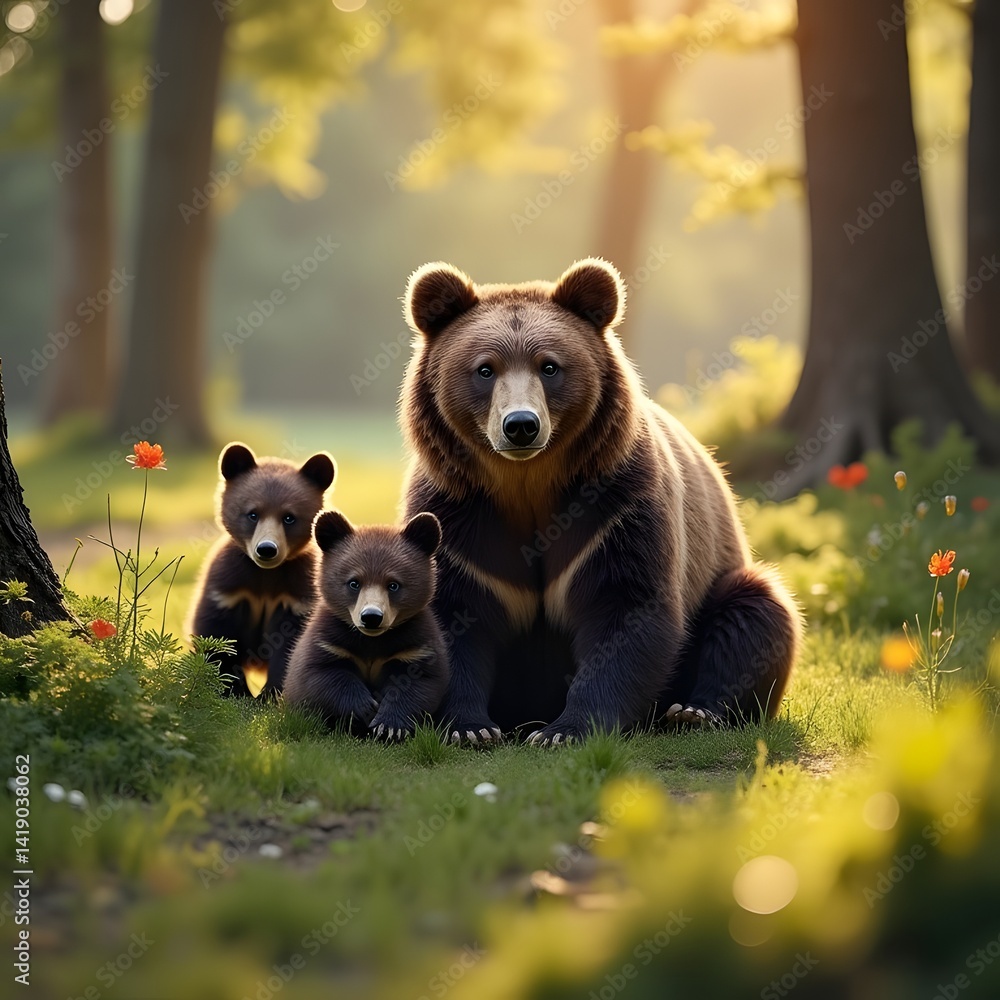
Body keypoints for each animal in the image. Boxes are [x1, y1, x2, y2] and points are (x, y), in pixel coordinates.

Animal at [188, 442, 336, 699]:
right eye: (253, 514)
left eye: (289, 517)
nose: (266, 549)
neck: (265, 576)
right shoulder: (228, 586)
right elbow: (218, 635)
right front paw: (233, 690)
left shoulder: (297, 595)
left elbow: (289, 644)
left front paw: (270, 694)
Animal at [283, 510, 448, 740]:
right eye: (354, 582)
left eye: (393, 585)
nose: (371, 617)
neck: (373, 641)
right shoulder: (329, 641)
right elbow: (320, 675)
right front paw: (365, 708)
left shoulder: (414, 647)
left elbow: (419, 683)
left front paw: (389, 727)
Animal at [399, 257, 802, 745]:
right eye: (485, 369)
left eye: (549, 366)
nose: (521, 425)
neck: (527, 483)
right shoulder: (457, 520)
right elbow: (452, 613)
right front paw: (469, 728)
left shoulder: (616, 508)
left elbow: (627, 608)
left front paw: (563, 730)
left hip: (720, 573)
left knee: (755, 610)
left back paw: (694, 711)